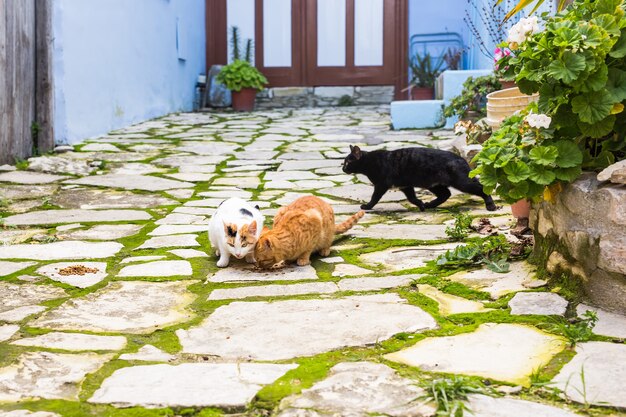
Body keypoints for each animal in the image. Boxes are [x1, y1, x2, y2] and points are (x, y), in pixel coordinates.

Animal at [342, 145, 492, 211]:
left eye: (348, 162)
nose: (343, 168)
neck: (370, 162)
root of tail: (461, 158)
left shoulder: (381, 185)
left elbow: (374, 198)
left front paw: (367, 206)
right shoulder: (406, 186)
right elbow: (412, 198)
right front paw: (421, 205)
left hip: (462, 182)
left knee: (481, 188)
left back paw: (491, 205)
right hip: (435, 185)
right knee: (446, 194)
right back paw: (430, 204)